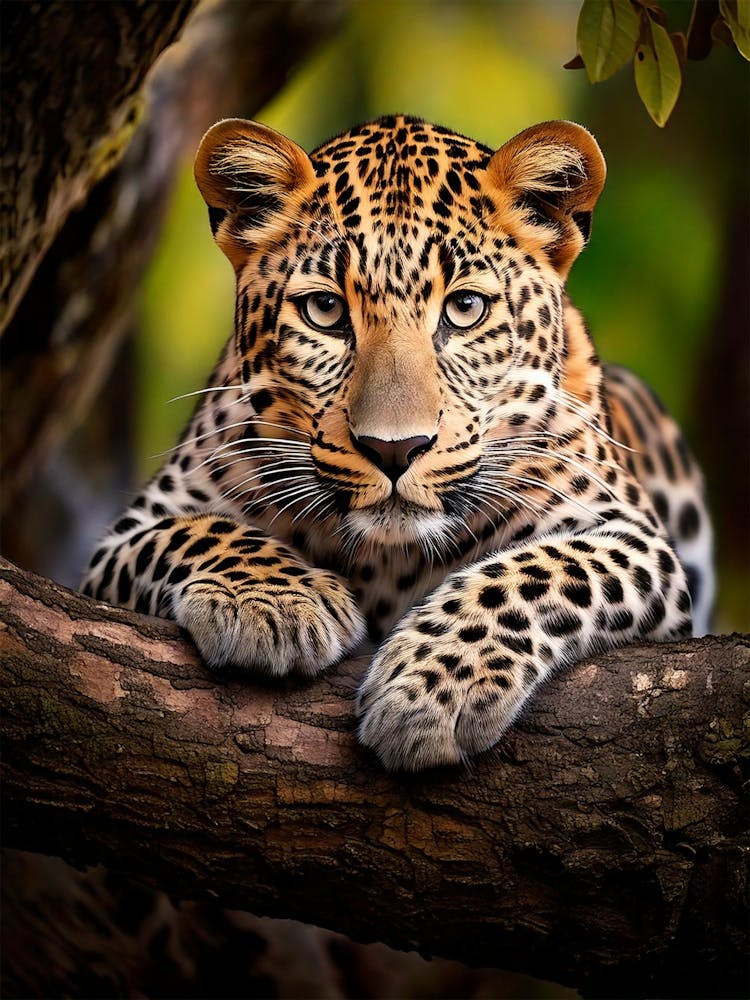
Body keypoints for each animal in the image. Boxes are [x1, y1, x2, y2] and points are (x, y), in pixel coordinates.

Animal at [82, 114, 714, 771]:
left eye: (465, 308)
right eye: (325, 309)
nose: (394, 449)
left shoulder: (635, 539)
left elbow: (542, 570)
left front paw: (431, 691)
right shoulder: (129, 535)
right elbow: (201, 530)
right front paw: (274, 602)